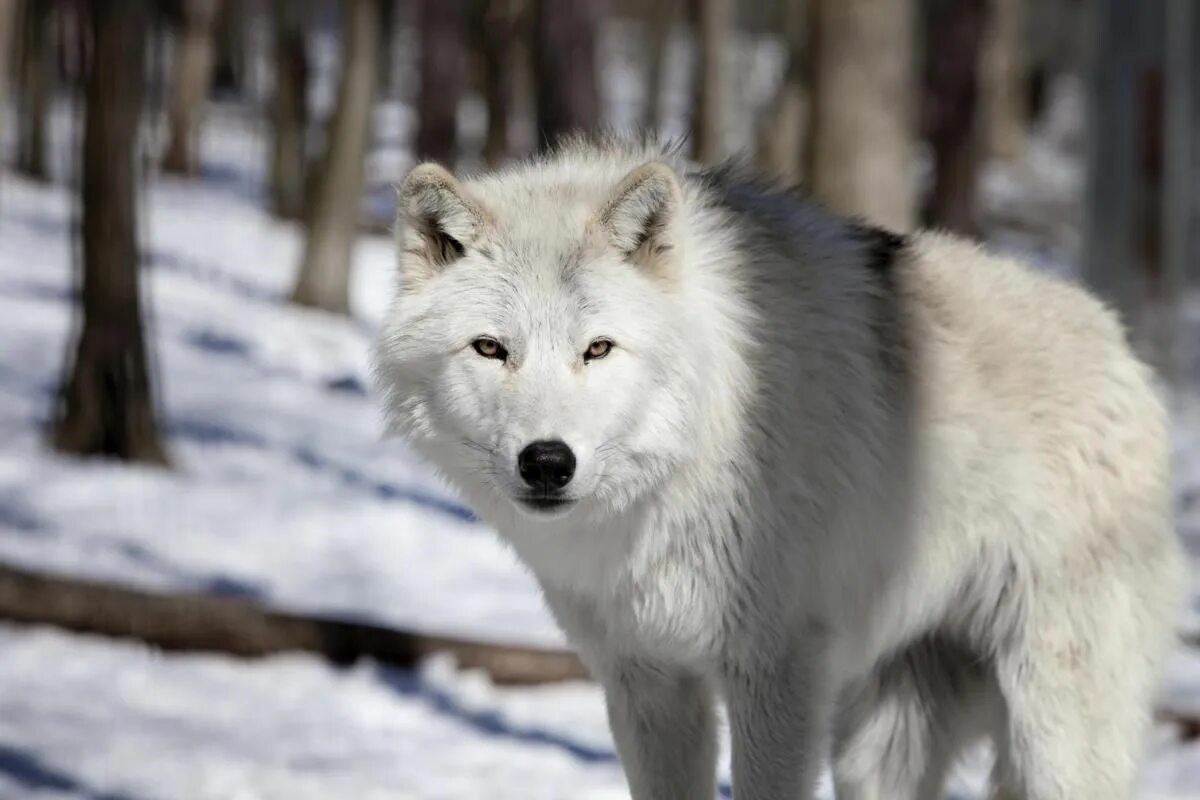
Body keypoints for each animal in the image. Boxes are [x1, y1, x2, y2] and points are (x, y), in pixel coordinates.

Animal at [372, 140, 1180, 796]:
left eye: (597, 349)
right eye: (490, 349)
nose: (547, 462)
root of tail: (1125, 350)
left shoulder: (774, 673)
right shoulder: (647, 680)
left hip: (1054, 730)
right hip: (878, 746)